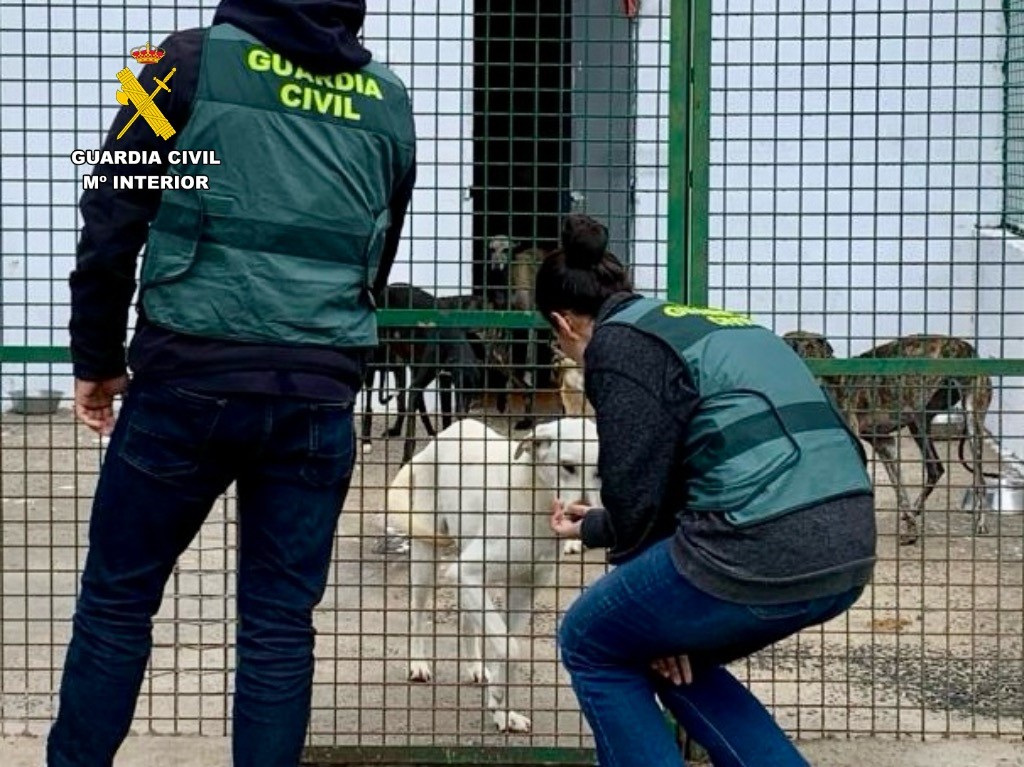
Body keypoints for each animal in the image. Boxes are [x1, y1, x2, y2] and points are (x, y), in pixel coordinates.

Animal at [387, 415, 602, 733]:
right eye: (568, 466)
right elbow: (510, 648)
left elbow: (506, 645)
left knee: (467, 619)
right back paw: (418, 664)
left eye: (600, 472)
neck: (533, 501)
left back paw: (476, 667)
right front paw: (498, 697)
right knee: (417, 612)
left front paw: (503, 710)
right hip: (427, 556)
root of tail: (445, 433)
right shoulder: (465, 571)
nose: (582, 516)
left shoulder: (523, 590)